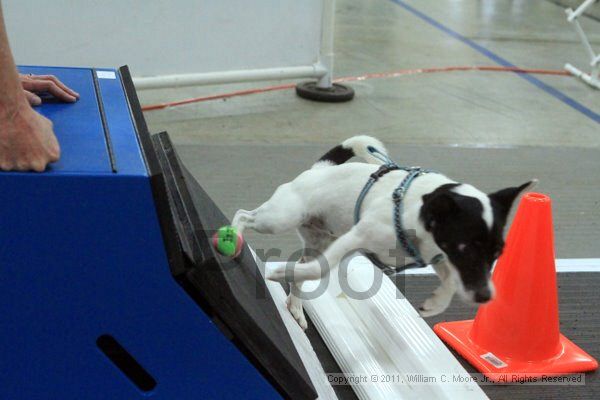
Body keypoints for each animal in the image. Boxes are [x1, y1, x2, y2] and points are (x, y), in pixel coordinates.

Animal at [232, 136, 532, 330]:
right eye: (465, 247)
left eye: (498, 252)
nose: (485, 296)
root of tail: (318, 170)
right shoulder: (354, 239)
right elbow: (321, 269)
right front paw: (278, 271)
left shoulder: (436, 257)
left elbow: (448, 283)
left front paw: (435, 304)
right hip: (280, 218)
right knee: (244, 215)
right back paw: (233, 236)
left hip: (319, 240)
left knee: (301, 271)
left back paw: (295, 305)